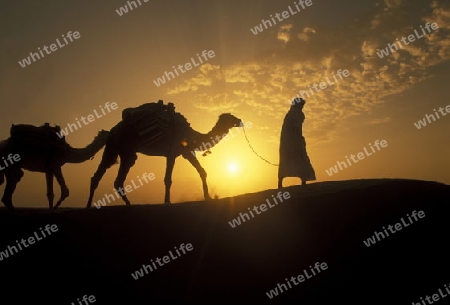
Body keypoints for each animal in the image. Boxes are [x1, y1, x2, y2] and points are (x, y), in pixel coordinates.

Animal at [86, 102, 244, 207]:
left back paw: (96, 205)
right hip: (120, 147)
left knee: (105, 177)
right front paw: (167, 201)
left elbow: (202, 171)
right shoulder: (172, 153)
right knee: (110, 176)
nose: (240, 121)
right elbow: (168, 179)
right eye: (231, 117)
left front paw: (208, 197)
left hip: (119, 150)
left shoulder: (186, 152)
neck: (191, 135)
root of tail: (111, 131)